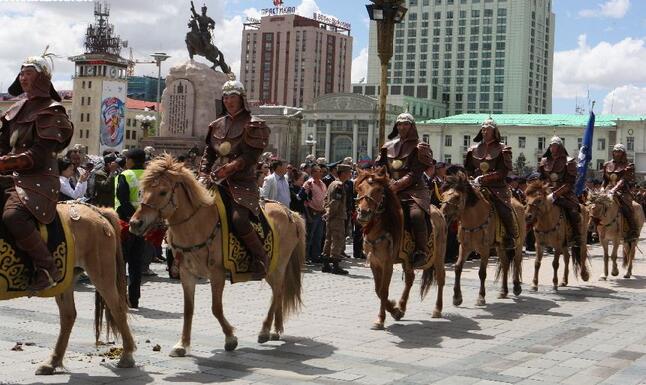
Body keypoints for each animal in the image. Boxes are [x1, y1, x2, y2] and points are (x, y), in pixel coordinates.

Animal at [0, 202, 135, 374]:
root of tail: (98, 211)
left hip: (101, 274)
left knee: (117, 309)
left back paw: (126, 355)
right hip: (66, 280)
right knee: (68, 315)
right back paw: (53, 362)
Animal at [130, 155, 308, 354]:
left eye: (162, 192)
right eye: (142, 191)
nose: (135, 223)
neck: (197, 224)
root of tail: (289, 212)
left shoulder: (217, 273)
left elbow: (216, 308)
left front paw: (230, 338)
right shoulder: (186, 272)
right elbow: (188, 309)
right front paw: (182, 344)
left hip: (277, 265)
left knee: (277, 291)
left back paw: (265, 330)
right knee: (278, 292)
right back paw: (275, 330)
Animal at [354, 166, 446, 328]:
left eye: (378, 190)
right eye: (359, 188)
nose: (363, 213)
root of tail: (438, 211)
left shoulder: (387, 263)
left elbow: (383, 290)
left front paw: (380, 319)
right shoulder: (374, 262)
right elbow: (378, 290)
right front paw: (395, 310)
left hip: (439, 255)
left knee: (440, 278)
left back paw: (437, 309)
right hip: (407, 259)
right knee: (410, 279)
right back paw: (402, 307)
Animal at [440, 171, 528, 306]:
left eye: (457, 197)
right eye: (443, 195)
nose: (442, 215)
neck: (474, 219)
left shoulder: (484, 249)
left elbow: (482, 273)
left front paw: (481, 297)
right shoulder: (464, 247)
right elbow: (458, 267)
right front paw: (457, 298)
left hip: (518, 243)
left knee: (517, 261)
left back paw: (517, 287)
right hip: (500, 246)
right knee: (505, 263)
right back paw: (503, 291)